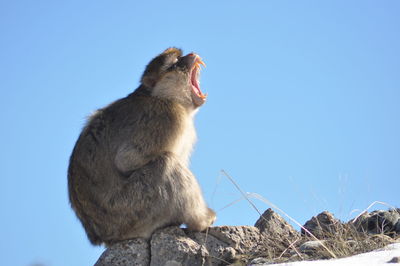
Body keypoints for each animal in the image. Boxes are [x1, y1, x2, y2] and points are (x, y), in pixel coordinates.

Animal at [69, 47, 217, 245]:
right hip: (134, 210)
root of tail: (104, 236)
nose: (191, 54)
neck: (161, 96)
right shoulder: (166, 117)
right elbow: (127, 161)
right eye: (175, 62)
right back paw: (200, 221)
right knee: (167, 163)